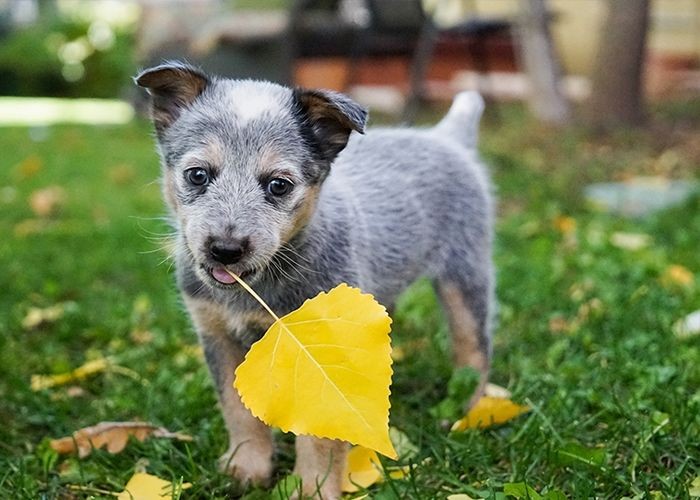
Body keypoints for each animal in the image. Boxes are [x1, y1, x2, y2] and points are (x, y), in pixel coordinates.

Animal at [135, 62, 492, 500]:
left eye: (278, 185)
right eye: (198, 175)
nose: (225, 249)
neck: (262, 290)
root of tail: (445, 136)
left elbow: (321, 437)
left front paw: (314, 489)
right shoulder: (217, 335)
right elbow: (237, 411)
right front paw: (246, 466)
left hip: (465, 273)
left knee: (474, 347)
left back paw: (465, 413)